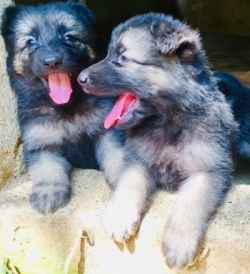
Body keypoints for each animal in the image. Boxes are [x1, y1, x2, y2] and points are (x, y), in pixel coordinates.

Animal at [0, 0, 122, 214]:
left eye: (69, 37)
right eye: (31, 42)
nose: (52, 62)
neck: (67, 107)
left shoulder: (107, 130)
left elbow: (115, 154)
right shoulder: (42, 143)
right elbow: (47, 168)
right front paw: (48, 192)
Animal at [78, 13, 238, 270]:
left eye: (123, 58)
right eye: (108, 53)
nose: (79, 79)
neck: (166, 123)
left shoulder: (208, 170)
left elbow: (191, 201)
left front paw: (179, 243)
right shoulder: (137, 159)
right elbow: (129, 183)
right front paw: (119, 216)